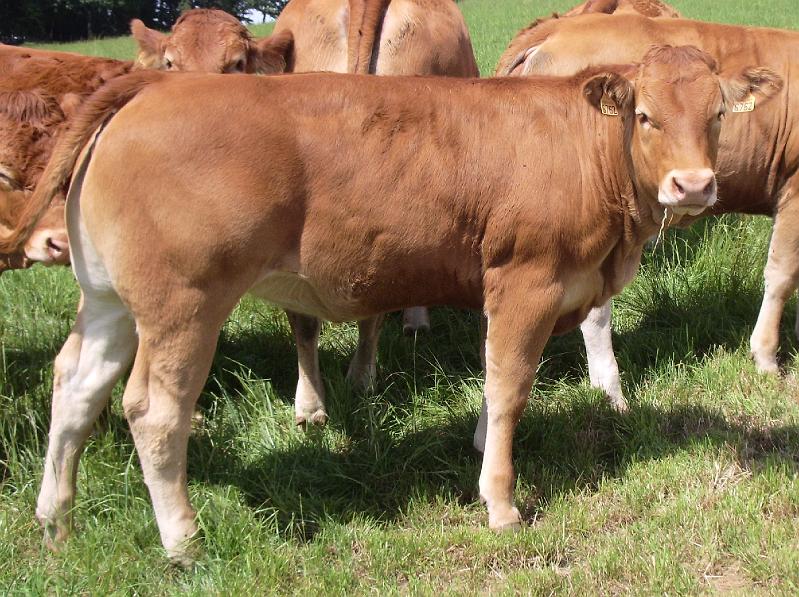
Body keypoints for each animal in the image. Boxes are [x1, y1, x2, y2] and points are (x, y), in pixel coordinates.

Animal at [1, 46, 775, 564]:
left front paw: (479, 451)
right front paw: (500, 501)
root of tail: (153, 84)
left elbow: (492, 385)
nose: (693, 184)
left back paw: (55, 519)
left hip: (108, 299)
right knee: (153, 411)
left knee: (76, 386)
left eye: (715, 115)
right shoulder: (525, 281)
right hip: (182, 305)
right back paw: (183, 538)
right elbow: (510, 385)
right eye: (644, 116)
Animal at [485, 13, 796, 428]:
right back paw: (611, 394)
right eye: (644, 116)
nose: (694, 185)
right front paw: (765, 357)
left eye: (720, 114)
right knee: (596, 315)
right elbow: (781, 274)